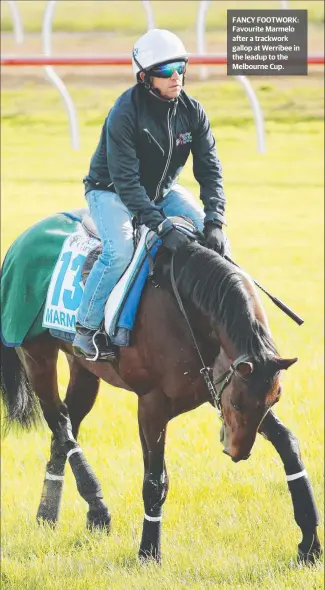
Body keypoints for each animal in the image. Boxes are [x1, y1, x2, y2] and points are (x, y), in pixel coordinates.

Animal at [0, 232, 320, 568]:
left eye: (274, 400)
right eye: (236, 404)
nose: (237, 453)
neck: (189, 313)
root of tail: (20, 242)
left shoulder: (216, 389)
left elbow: (288, 444)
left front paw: (309, 544)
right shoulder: (153, 404)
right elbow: (155, 480)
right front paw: (148, 552)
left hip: (83, 369)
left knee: (64, 429)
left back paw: (49, 513)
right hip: (36, 355)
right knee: (59, 421)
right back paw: (98, 508)